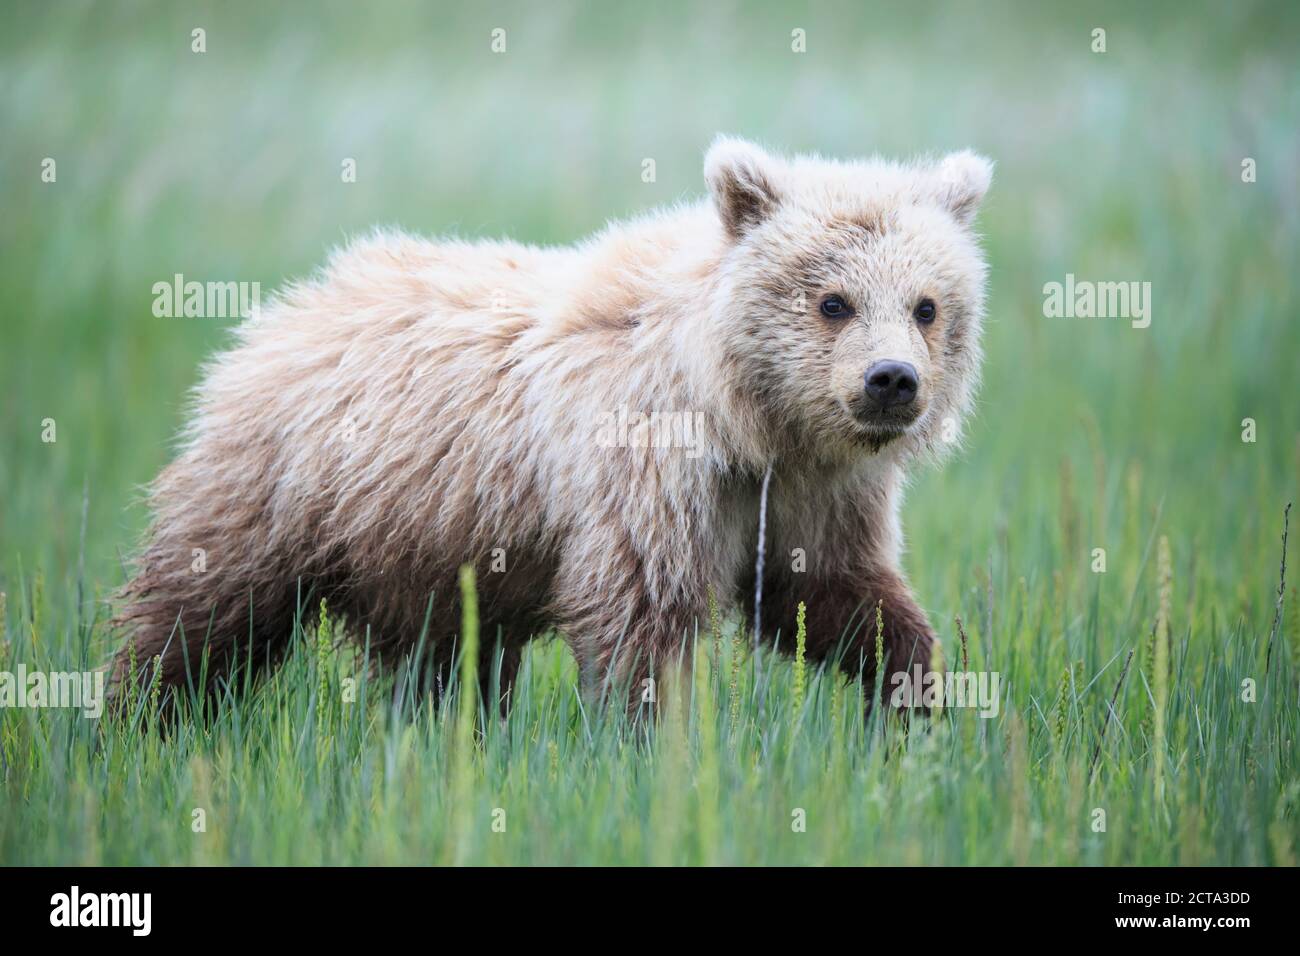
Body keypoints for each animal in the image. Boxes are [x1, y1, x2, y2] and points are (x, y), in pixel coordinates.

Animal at [109, 138, 993, 712]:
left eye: (927, 306)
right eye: (833, 301)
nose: (892, 381)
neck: (748, 418)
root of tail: (283, 308)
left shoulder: (814, 494)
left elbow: (829, 591)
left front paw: (917, 696)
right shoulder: (647, 471)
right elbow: (640, 618)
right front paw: (653, 743)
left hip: (424, 544)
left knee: (441, 657)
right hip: (285, 482)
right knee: (205, 608)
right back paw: (143, 715)